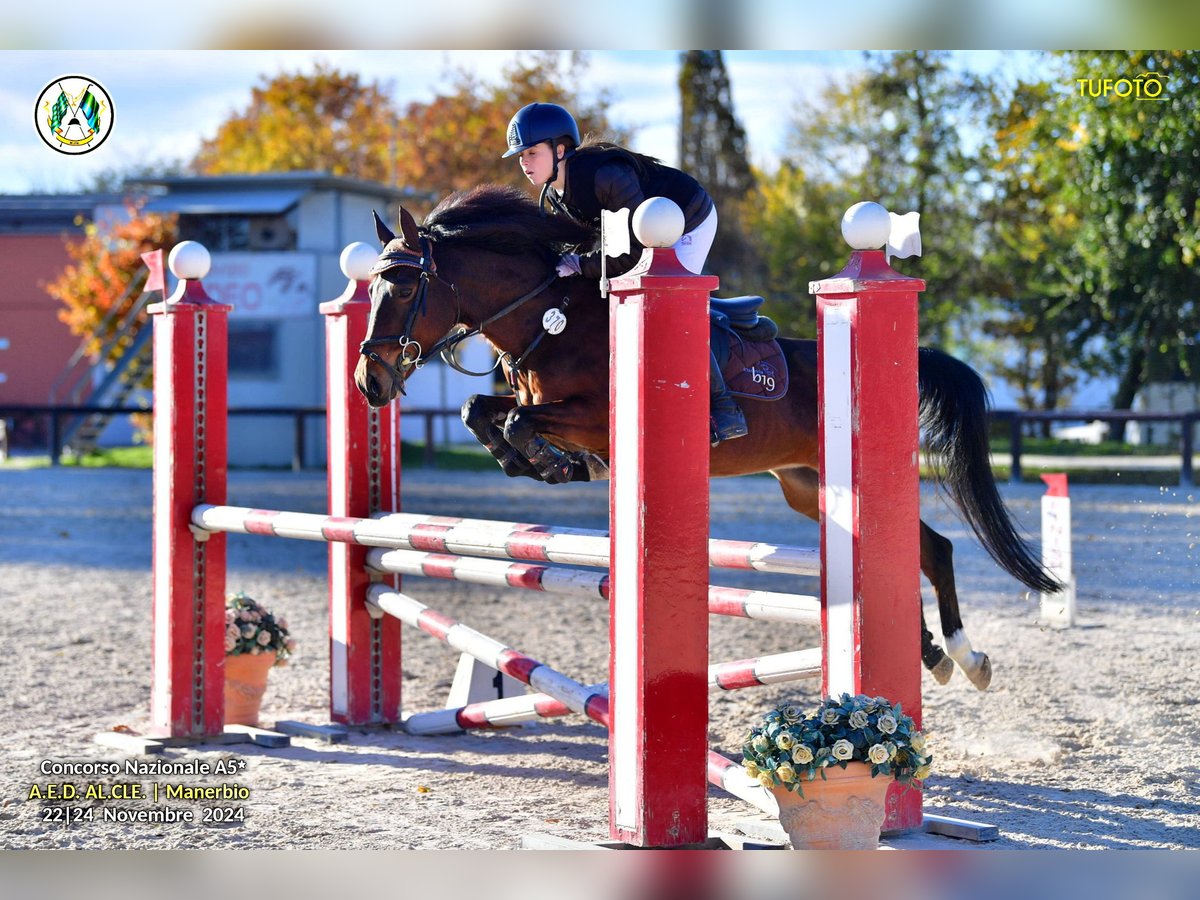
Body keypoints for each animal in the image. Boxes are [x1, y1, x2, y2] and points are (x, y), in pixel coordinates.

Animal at [355, 184, 1060, 691]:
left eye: (406, 287)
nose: (370, 382)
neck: (548, 319)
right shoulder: (535, 399)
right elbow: (479, 409)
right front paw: (537, 463)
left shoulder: (594, 414)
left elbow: (514, 421)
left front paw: (553, 463)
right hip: (810, 487)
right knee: (916, 550)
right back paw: (934, 652)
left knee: (929, 549)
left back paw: (965, 657)